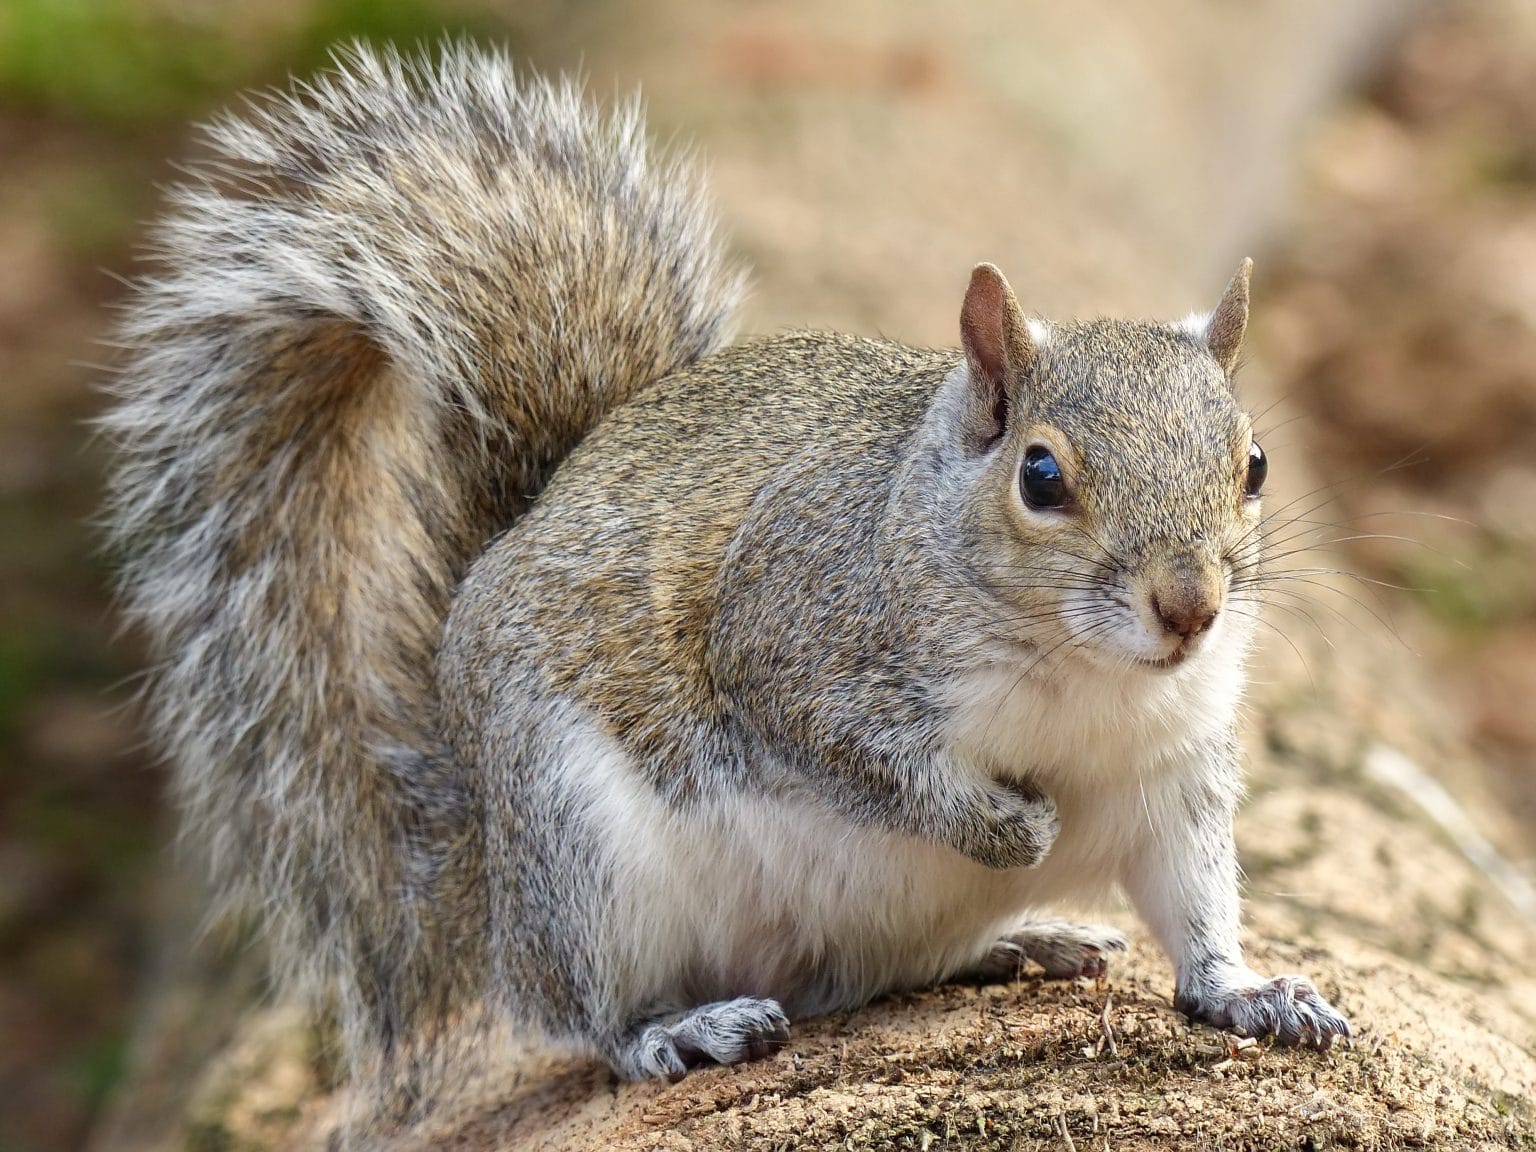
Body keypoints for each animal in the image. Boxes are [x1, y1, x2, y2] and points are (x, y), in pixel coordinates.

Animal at [104, 43, 1350, 1103]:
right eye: (1041, 476)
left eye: (1254, 463)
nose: (1190, 609)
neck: (1085, 671)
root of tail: (486, 855)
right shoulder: (789, 644)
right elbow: (854, 753)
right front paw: (1010, 832)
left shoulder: (1177, 773)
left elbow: (1196, 906)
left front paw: (1250, 992)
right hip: (581, 843)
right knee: (576, 1012)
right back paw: (676, 1029)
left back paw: (1018, 939)